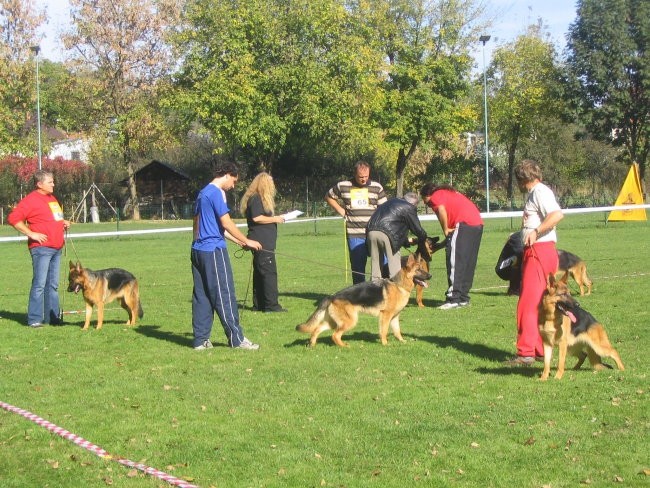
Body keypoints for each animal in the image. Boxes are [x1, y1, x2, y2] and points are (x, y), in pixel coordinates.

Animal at [294, 254, 428, 346]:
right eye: (418, 270)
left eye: (423, 269)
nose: (430, 276)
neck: (399, 285)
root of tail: (332, 296)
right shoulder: (385, 316)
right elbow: (384, 331)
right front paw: (385, 344)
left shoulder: (394, 317)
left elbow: (397, 331)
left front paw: (402, 341)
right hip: (350, 321)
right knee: (335, 335)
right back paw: (344, 346)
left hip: (333, 322)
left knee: (317, 329)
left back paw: (312, 344)